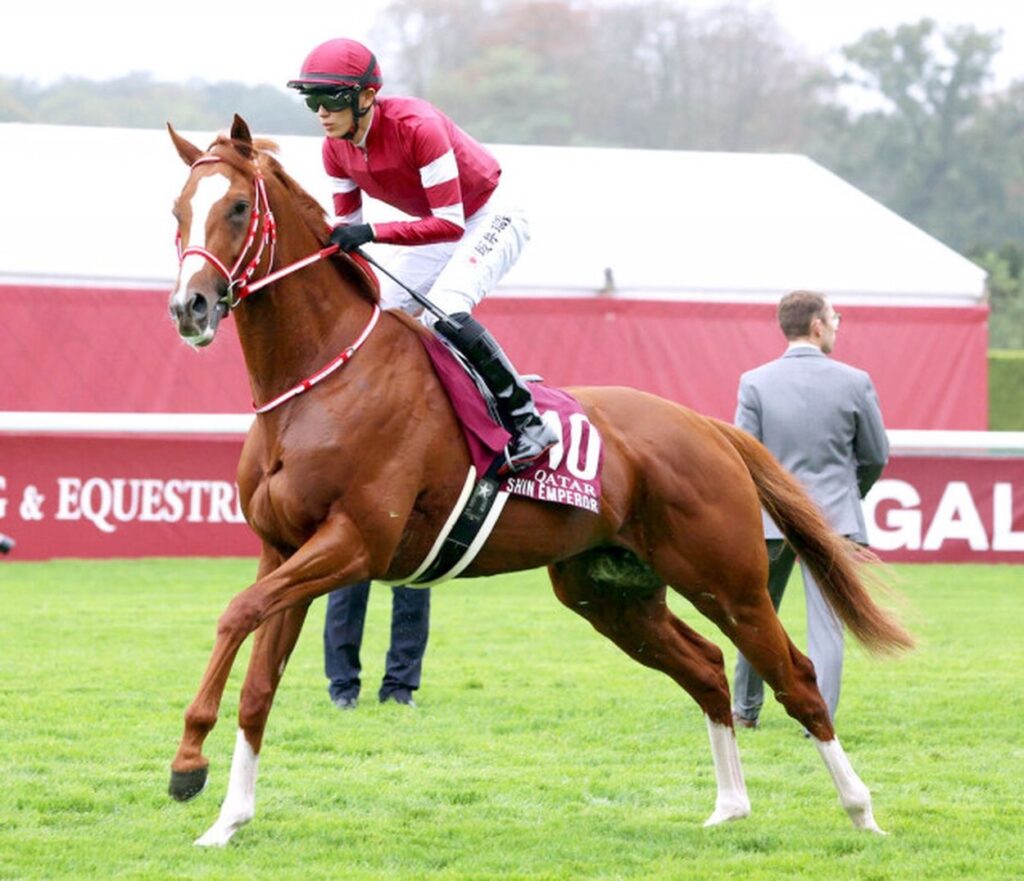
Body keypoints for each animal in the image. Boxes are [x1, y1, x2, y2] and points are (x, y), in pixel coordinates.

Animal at [165, 116, 913, 848]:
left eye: (237, 207)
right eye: (177, 209)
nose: (190, 307)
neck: (319, 381)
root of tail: (705, 424)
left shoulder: (352, 544)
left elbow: (235, 612)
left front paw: (188, 761)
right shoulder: (285, 551)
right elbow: (259, 683)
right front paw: (226, 817)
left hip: (728, 581)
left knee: (798, 677)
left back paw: (862, 811)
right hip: (610, 592)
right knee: (704, 667)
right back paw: (730, 805)